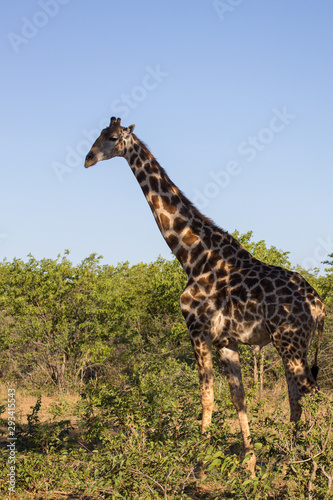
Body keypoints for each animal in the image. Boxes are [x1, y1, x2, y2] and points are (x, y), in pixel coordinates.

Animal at [83, 115, 324, 474]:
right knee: (297, 396)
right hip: (293, 345)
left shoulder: (197, 330)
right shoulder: (226, 341)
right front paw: (249, 463)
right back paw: (292, 459)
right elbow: (238, 397)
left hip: (291, 342)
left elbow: (206, 395)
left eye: (112, 138)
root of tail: (320, 305)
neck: (193, 257)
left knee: (313, 392)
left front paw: (199, 460)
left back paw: (311, 465)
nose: (87, 158)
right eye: (98, 135)